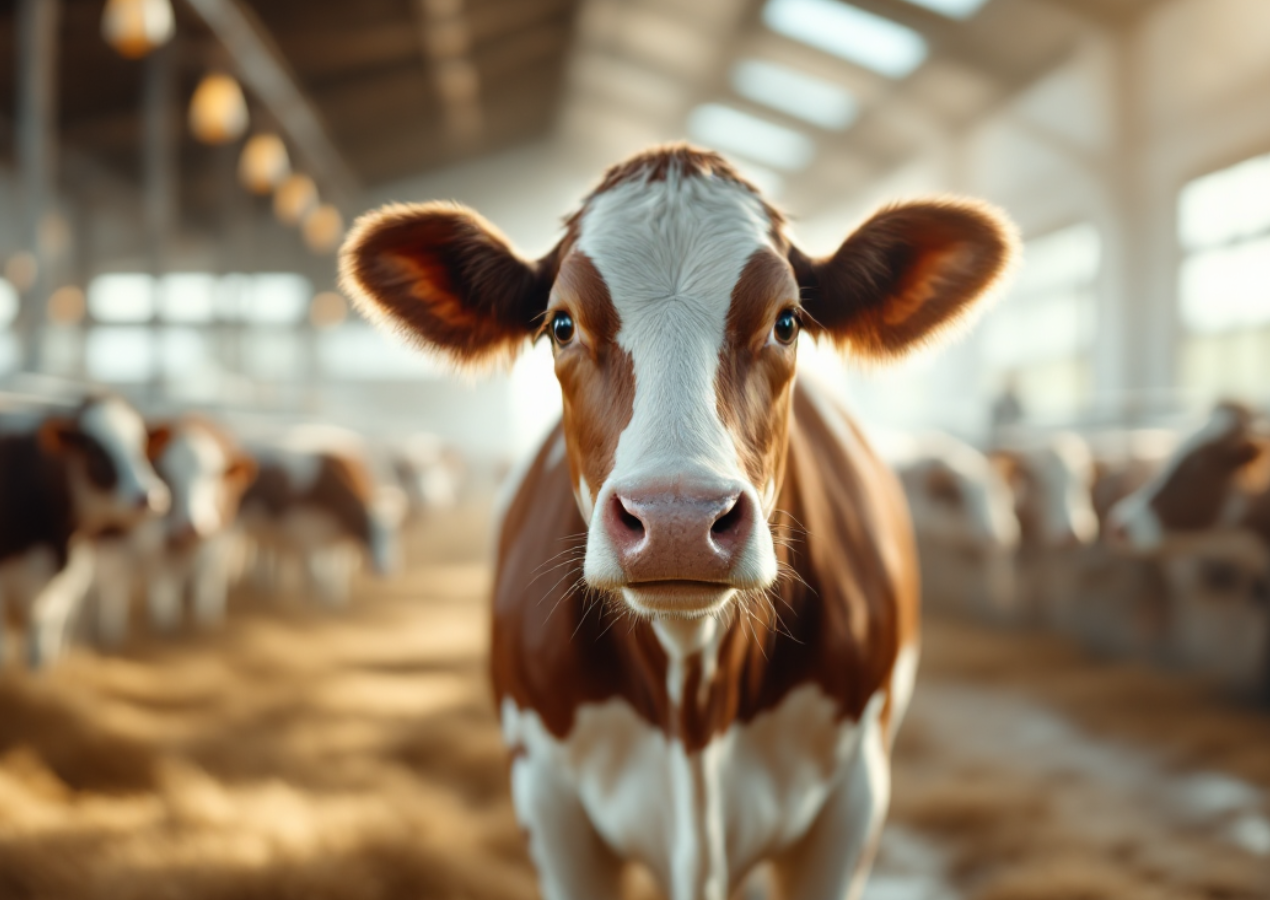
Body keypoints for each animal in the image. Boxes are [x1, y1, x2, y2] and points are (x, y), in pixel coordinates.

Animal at [93, 416, 257, 644]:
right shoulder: (156, 542)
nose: (193, 527)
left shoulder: (216, 536)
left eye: (213, 476)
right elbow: (162, 583)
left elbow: (205, 578)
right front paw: (165, 622)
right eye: (167, 475)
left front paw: (204, 620)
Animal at [339, 145, 1016, 899]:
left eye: (787, 321)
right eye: (561, 324)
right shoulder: (547, 802)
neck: (694, 702)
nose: (677, 521)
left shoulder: (854, 799)